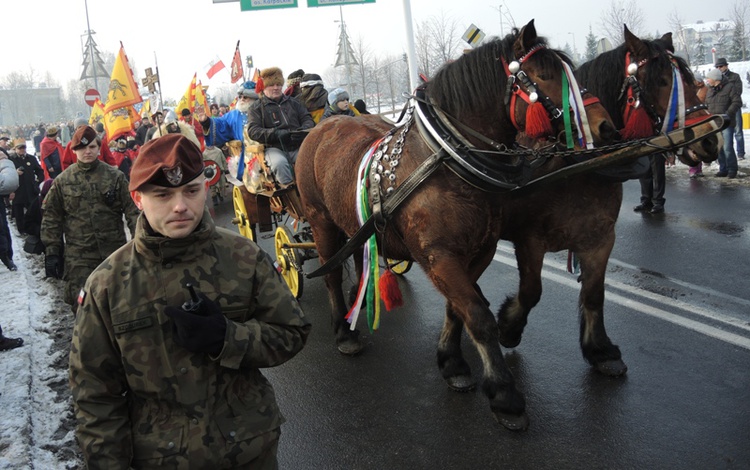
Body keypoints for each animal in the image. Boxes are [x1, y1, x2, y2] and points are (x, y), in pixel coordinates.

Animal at [296, 22, 620, 434]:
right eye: (546, 75)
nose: (605, 127)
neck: (443, 159)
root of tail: (324, 125)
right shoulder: (440, 256)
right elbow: (477, 315)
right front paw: (504, 394)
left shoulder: (479, 251)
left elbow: (458, 308)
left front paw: (452, 363)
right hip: (320, 221)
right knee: (332, 274)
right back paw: (343, 329)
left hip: (351, 224)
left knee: (356, 260)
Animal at [496, 27, 720, 376]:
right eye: (661, 81)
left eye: (689, 79)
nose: (711, 138)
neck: (572, 165)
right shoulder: (529, 239)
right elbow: (531, 291)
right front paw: (508, 327)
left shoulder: (600, 238)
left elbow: (593, 293)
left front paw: (600, 350)